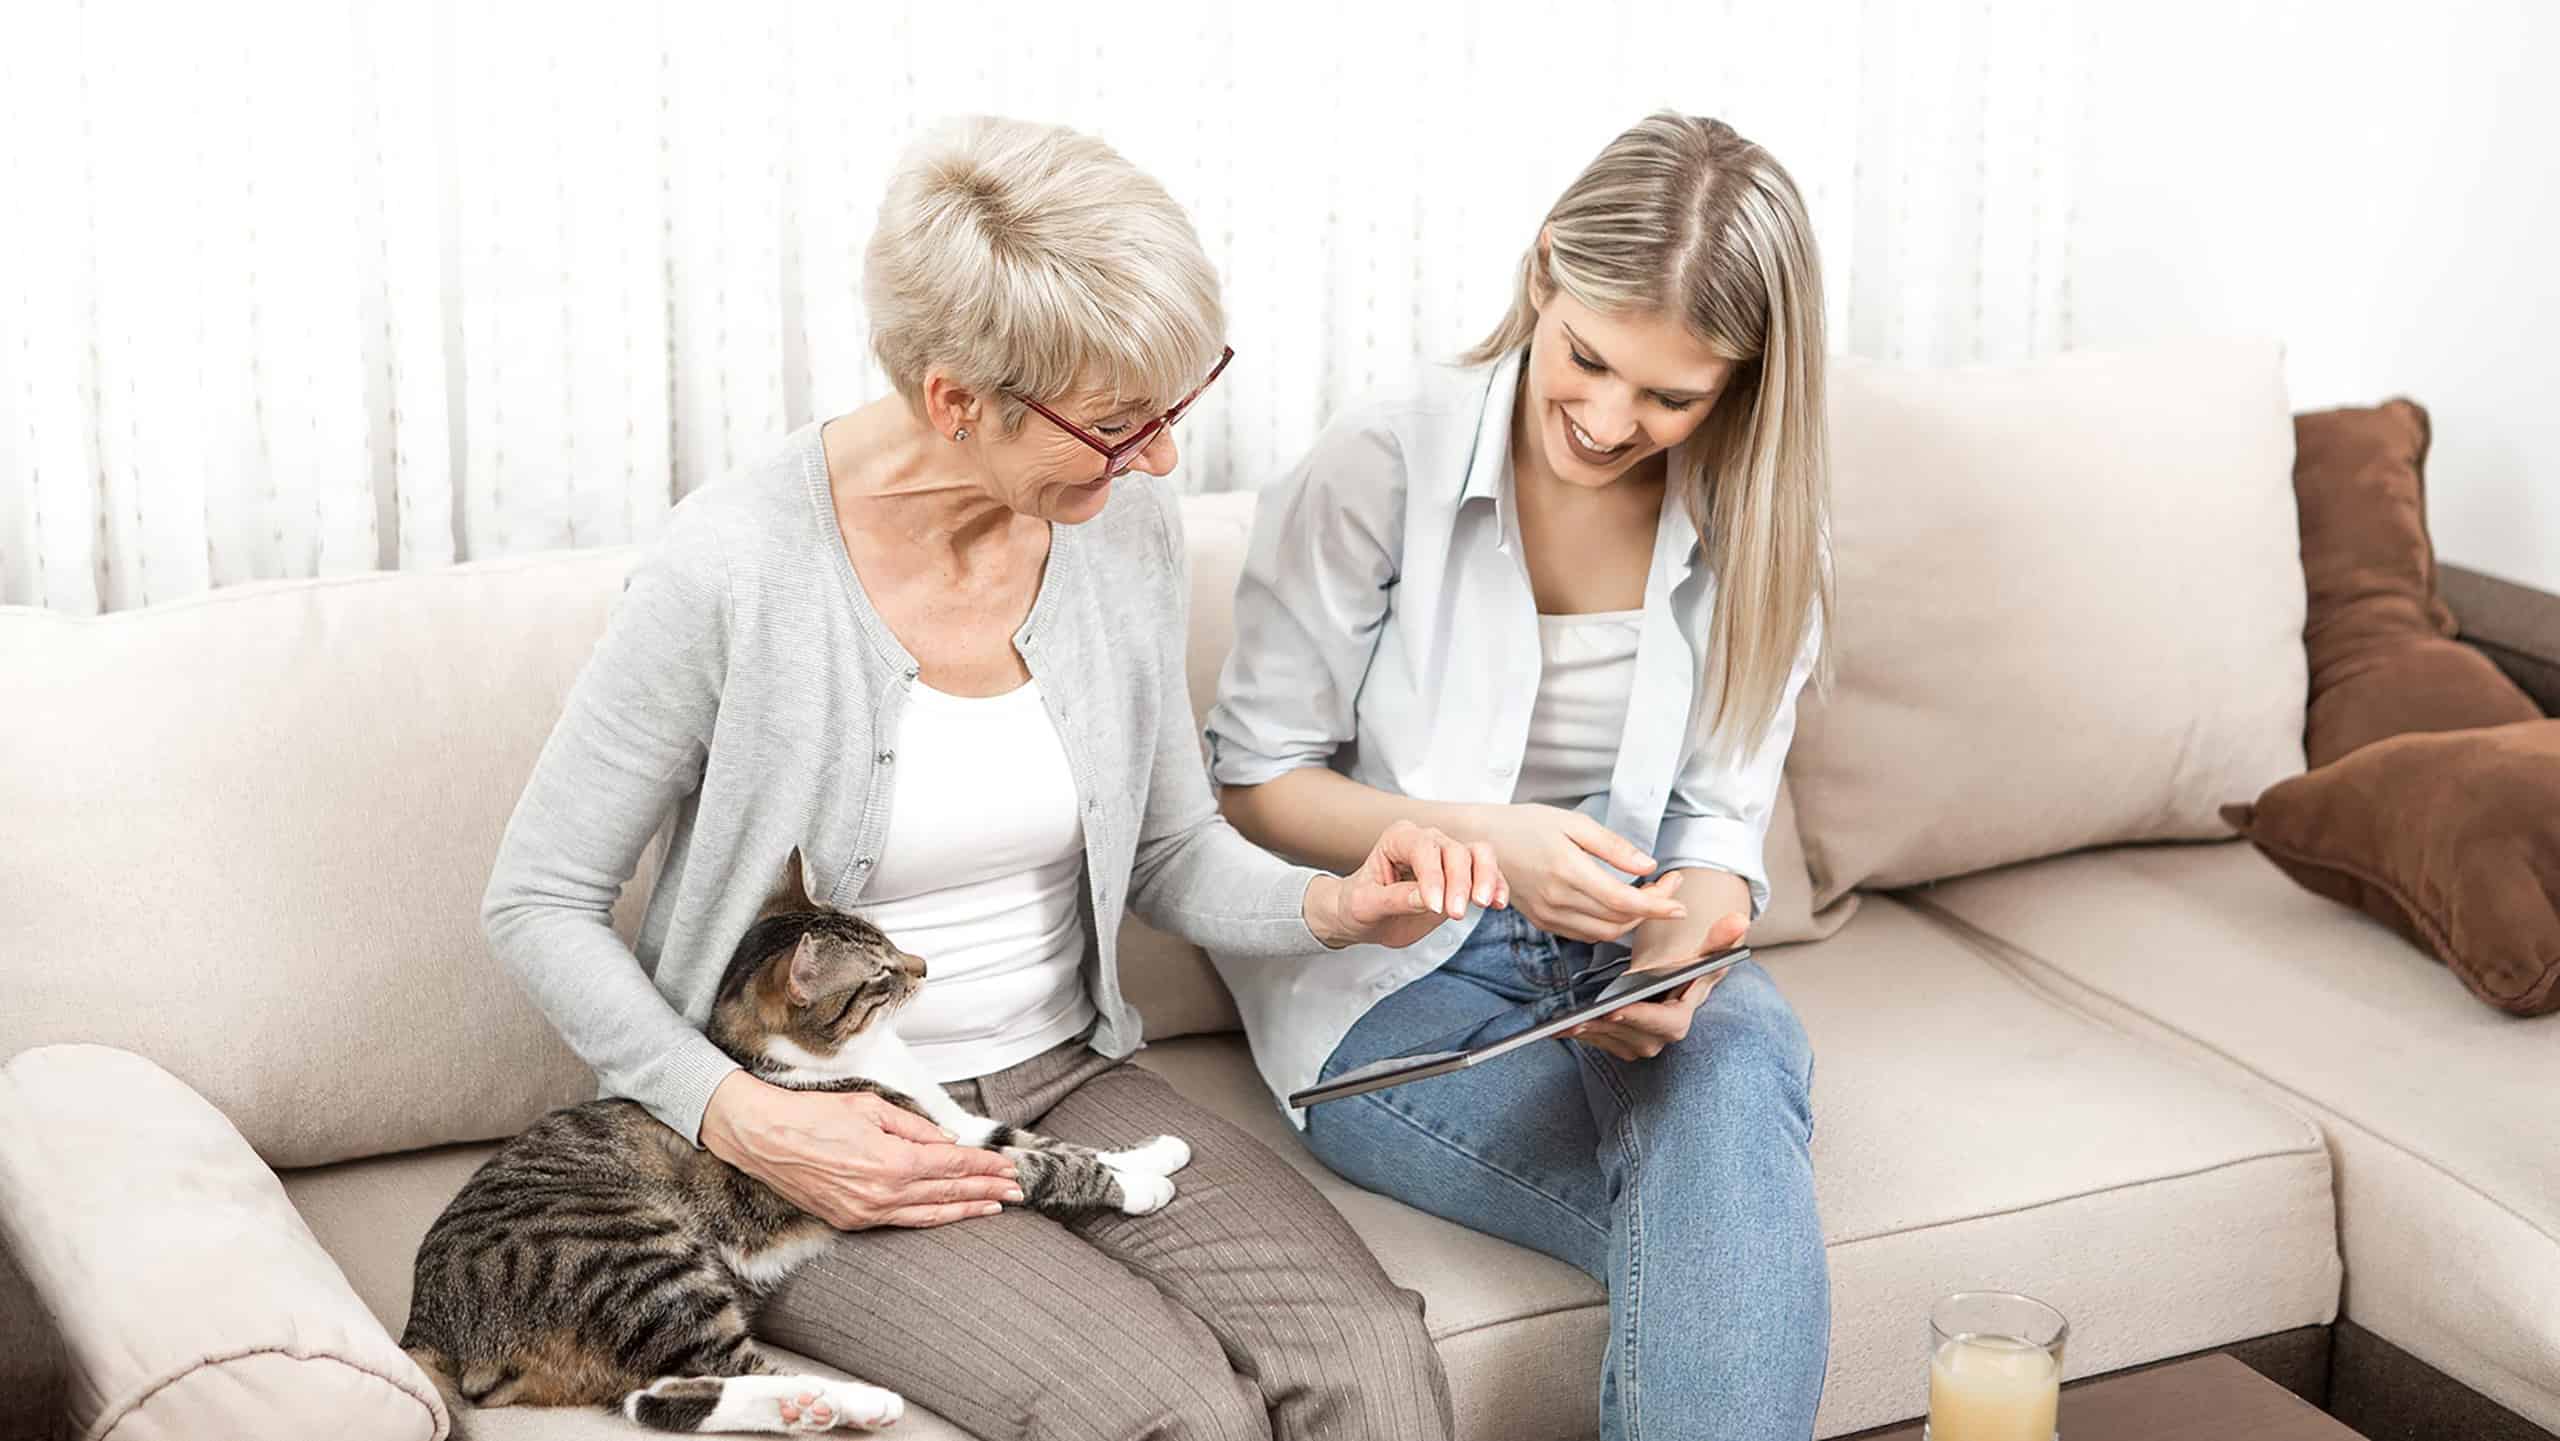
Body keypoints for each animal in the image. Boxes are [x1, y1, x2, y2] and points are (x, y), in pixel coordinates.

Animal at [401, 849, 1198, 1433]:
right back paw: (846, 1401)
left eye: (890, 943)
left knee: (658, 1395)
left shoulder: (952, 1121)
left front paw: (1155, 1153)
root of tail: (430, 1316)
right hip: (631, 1256)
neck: (857, 1058)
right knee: (710, 1372)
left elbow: (1039, 1137)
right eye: (880, 973)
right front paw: (1139, 1184)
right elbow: (1038, 1160)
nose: (924, 965)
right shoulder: (922, 1147)